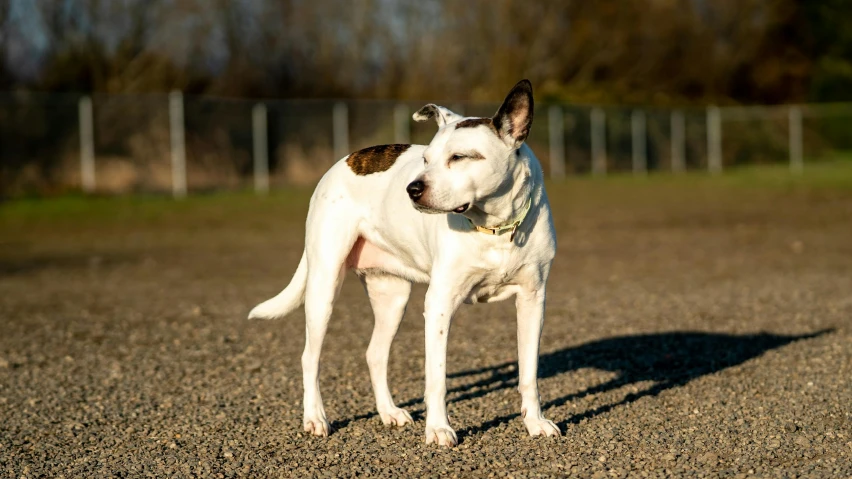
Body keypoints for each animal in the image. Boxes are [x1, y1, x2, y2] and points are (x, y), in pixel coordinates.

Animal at [250, 80, 564, 448]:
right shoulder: (440, 304)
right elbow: (437, 378)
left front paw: (535, 423)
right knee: (309, 357)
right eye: (426, 159)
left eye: (460, 157)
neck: (495, 226)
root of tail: (343, 161)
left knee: (374, 354)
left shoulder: (532, 301)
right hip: (324, 287)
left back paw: (388, 412)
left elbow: (529, 372)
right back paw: (315, 417)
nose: (412, 188)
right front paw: (439, 429)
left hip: (392, 298)